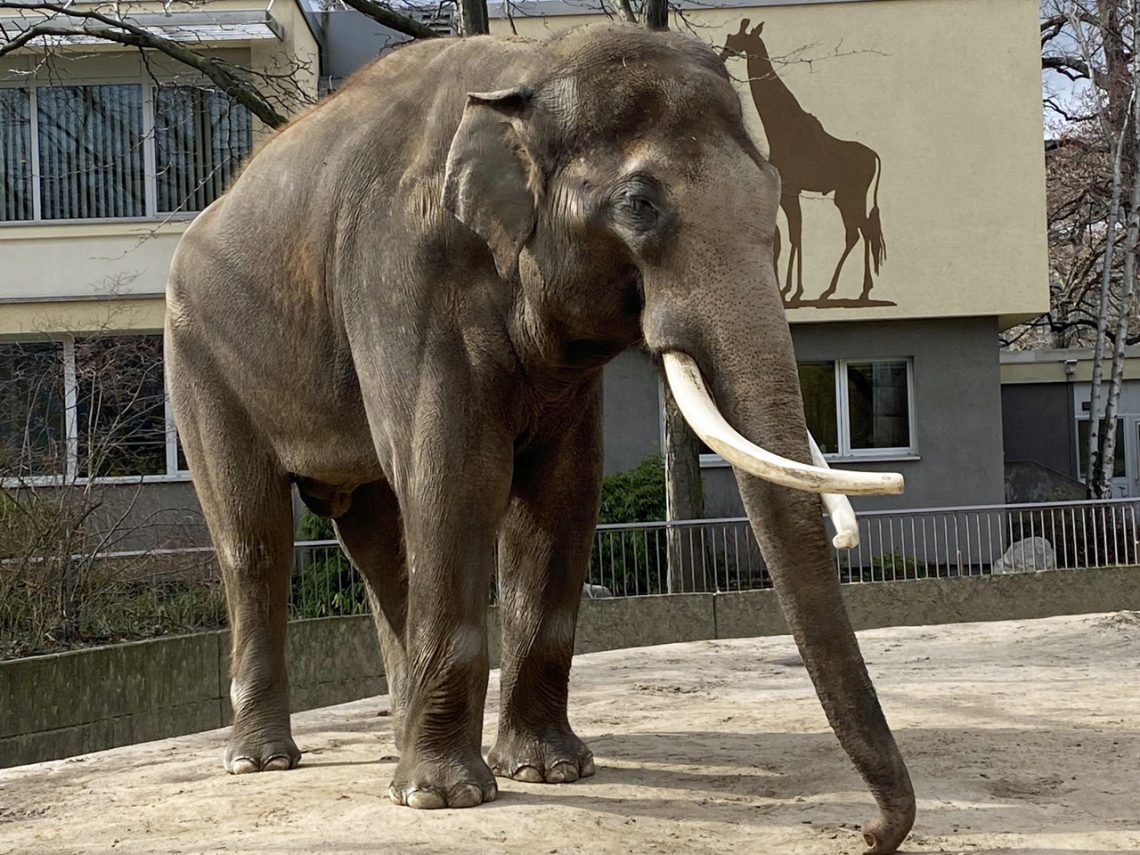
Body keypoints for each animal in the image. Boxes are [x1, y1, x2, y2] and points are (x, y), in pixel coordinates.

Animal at [165, 22, 915, 854]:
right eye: (640, 205)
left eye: (772, 197)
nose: (868, 832)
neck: (530, 65)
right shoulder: (402, 276)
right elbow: (457, 475)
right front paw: (446, 798)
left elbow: (561, 493)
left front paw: (549, 771)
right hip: (198, 356)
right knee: (255, 538)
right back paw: (263, 760)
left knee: (379, 535)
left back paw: (396, 741)